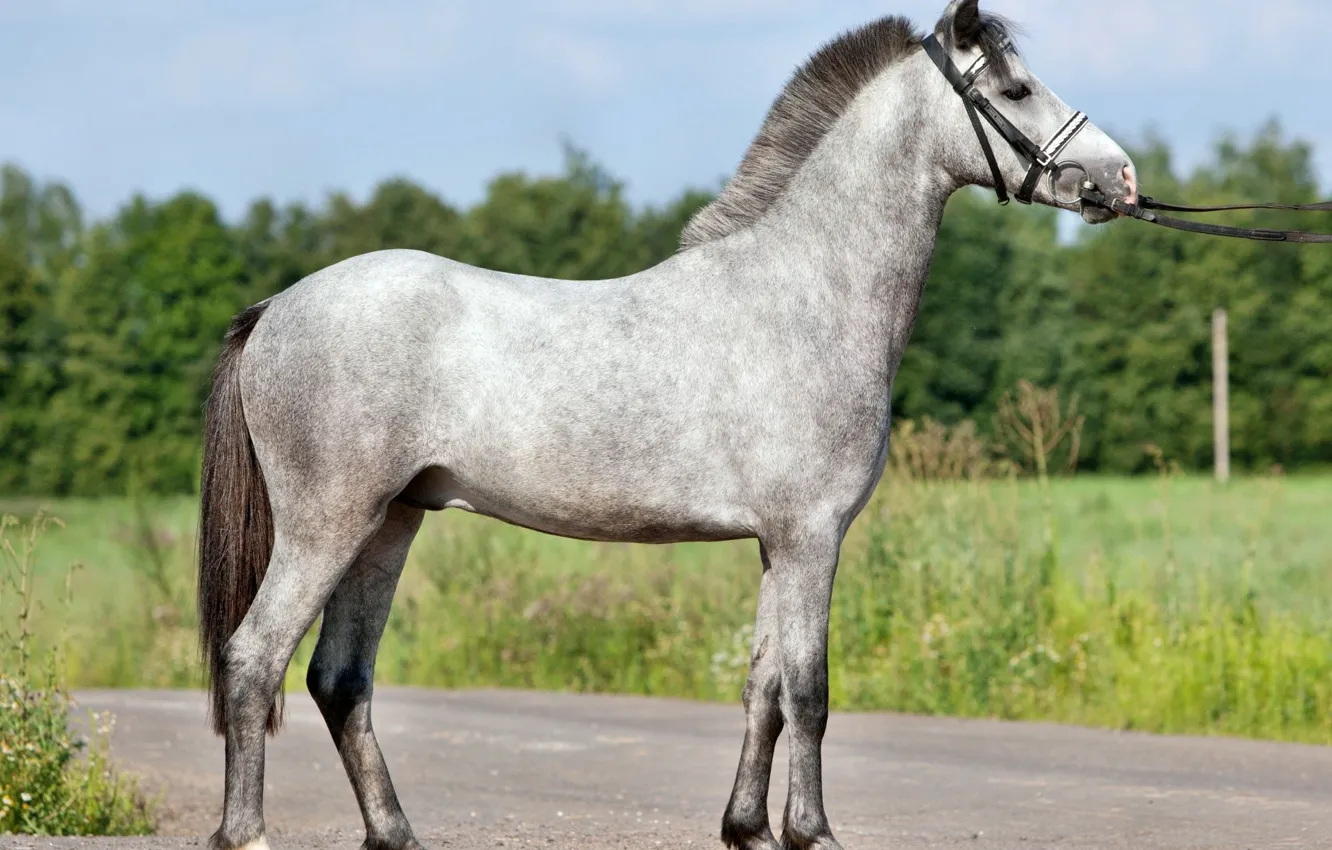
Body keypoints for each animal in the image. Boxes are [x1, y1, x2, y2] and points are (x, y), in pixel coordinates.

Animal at [196, 2, 1138, 848]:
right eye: (1016, 89)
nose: (1121, 180)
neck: (802, 295)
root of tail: (276, 309)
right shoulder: (813, 536)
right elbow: (810, 693)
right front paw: (812, 833)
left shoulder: (777, 545)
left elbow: (763, 689)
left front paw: (748, 830)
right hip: (327, 525)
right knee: (253, 662)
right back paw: (248, 835)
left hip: (389, 524)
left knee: (339, 679)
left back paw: (395, 833)